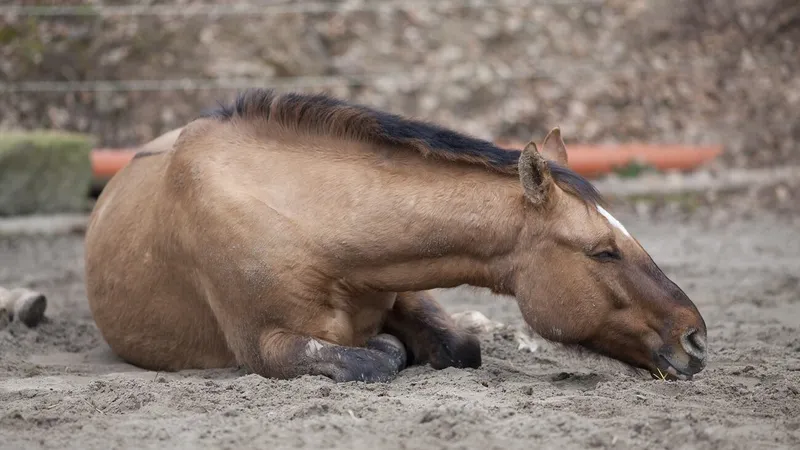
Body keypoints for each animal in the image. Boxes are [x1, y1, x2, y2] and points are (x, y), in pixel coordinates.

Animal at [84, 89, 708, 383]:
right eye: (603, 251)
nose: (696, 338)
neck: (309, 222)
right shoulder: (266, 346)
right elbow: (374, 358)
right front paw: (389, 349)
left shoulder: (405, 284)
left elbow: (459, 345)